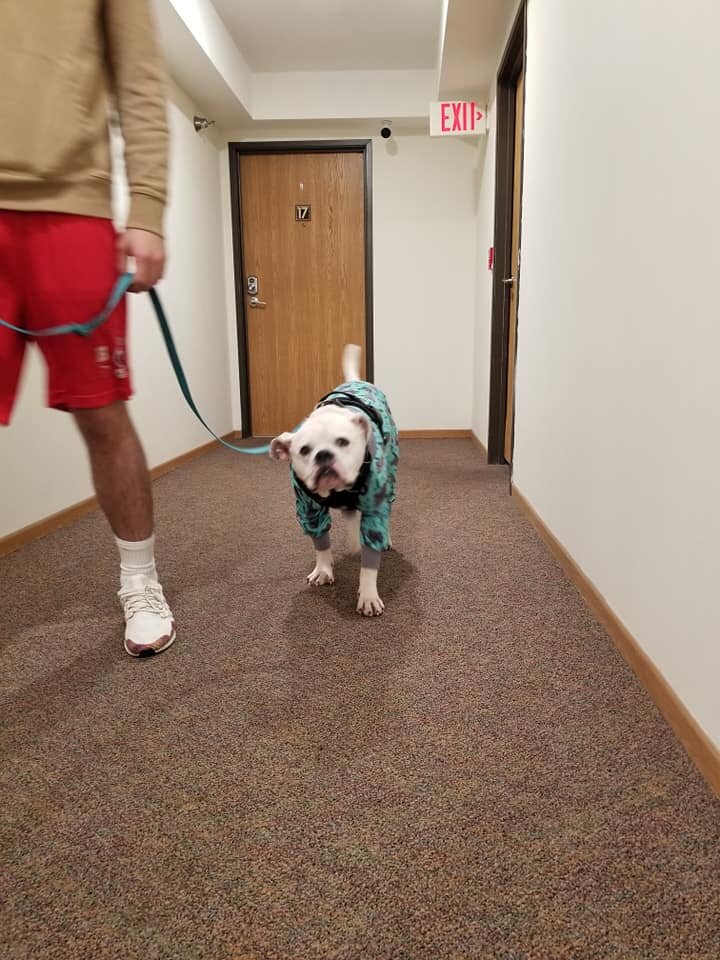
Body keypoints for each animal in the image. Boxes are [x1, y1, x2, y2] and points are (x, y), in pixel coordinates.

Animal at [270, 344, 399, 616]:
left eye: (343, 442)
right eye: (304, 450)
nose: (324, 455)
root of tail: (356, 381)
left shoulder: (375, 507)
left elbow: (369, 563)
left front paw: (368, 594)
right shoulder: (309, 509)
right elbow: (320, 542)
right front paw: (323, 568)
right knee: (350, 515)